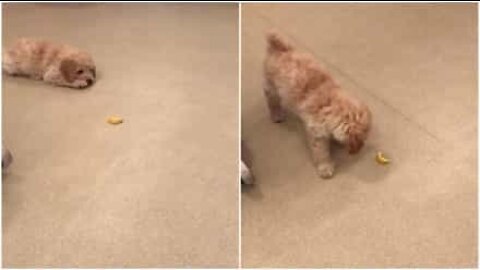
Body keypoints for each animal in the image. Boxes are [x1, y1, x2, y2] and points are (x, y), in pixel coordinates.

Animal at [262, 31, 372, 179]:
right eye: (361, 138)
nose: (359, 149)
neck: (331, 102)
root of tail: (280, 48)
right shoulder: (317, 134)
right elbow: (321, 153)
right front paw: (325, 167)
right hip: (271, 87)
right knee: (272, 101)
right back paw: (276, 114)